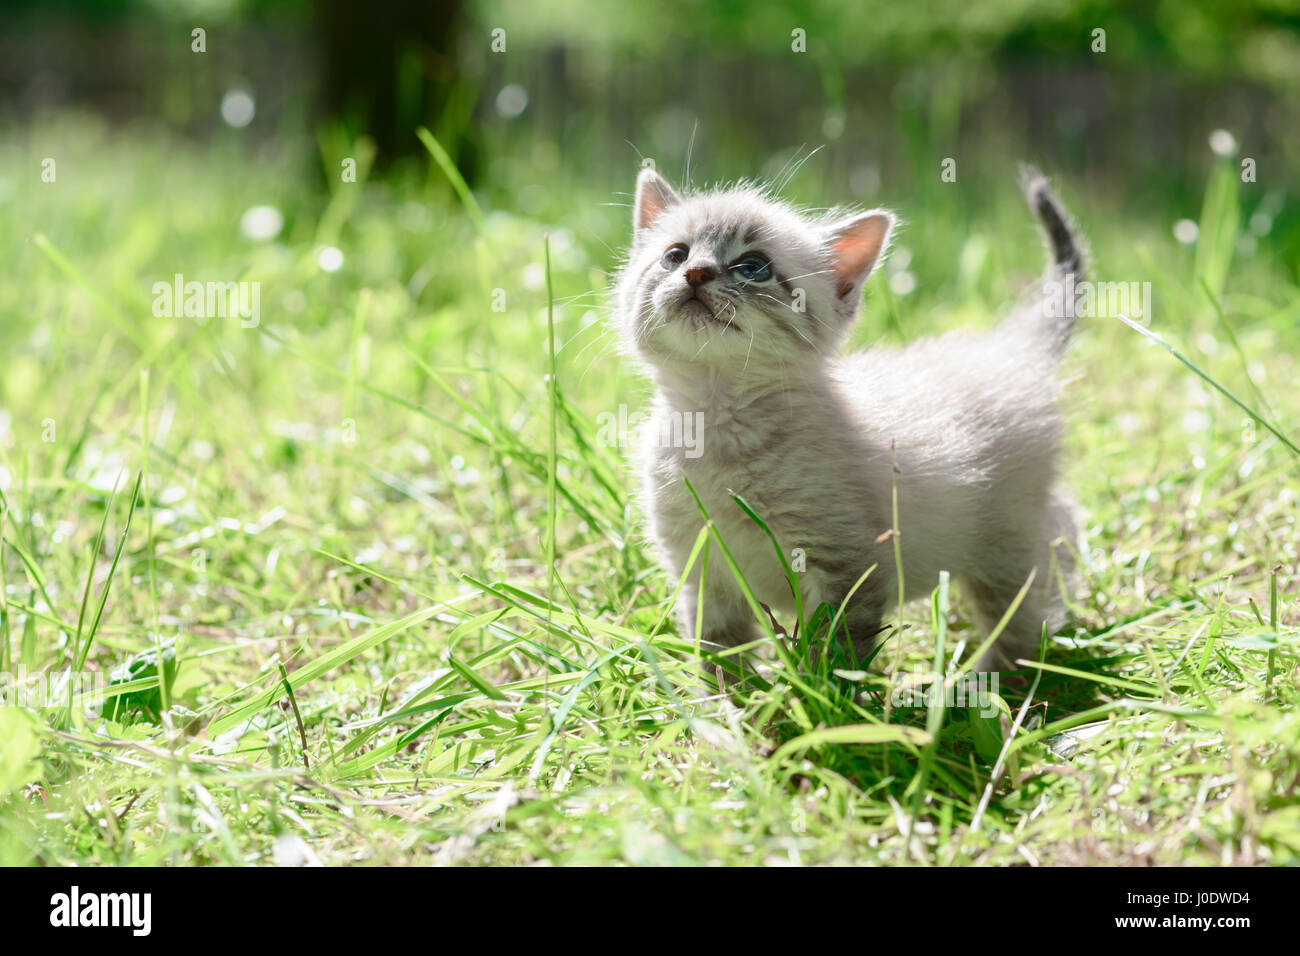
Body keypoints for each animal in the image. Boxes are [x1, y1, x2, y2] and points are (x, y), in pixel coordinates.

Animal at [613, 166, 1081, 671]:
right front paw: (729, 696)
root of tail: (1012, 347)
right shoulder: (703, 571)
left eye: (753, 266)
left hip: (1007, 548)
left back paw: (984, 680)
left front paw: (825, 692)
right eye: (675, 255)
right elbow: (720, 654)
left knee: (1024, 619)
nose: (695, 273)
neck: (715, 418)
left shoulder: (846, 562)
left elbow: (837, 653)